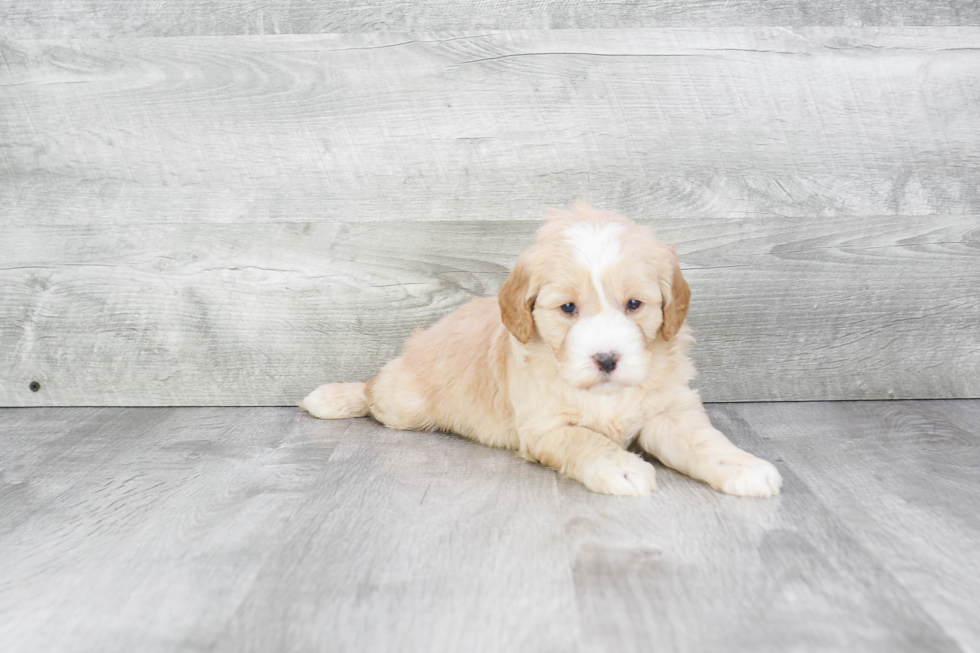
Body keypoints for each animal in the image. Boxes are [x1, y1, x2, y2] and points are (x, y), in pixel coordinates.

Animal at [298, 201, 780, 496]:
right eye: (567, 308)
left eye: (634, 305)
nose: (607, 359)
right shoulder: (545, 427)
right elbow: (586, 440)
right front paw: (620, 467)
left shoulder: (669, 411)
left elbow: (704, 442)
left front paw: (744, 466)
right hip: (405, 404)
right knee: (375, 389)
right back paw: (335, 396)